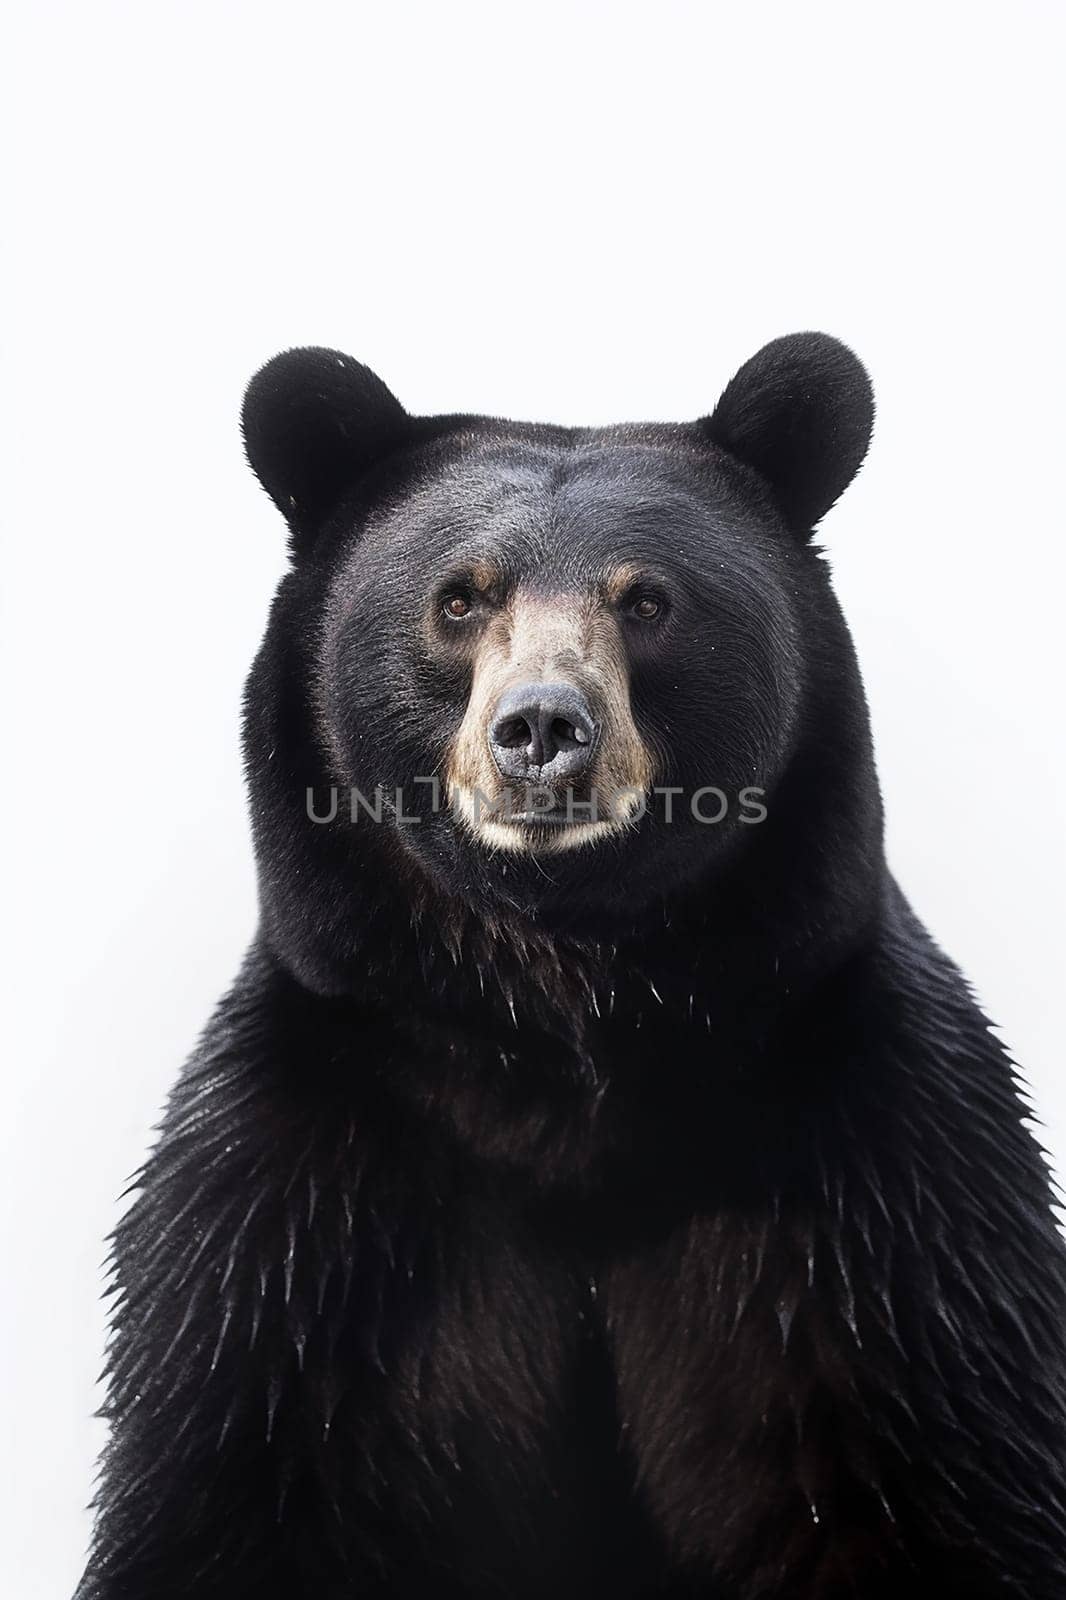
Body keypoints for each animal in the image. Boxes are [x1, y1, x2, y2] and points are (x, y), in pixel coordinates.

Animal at [74, 331, 1062, 1593]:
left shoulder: (871, 1202)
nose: (542, 729)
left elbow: (934, 1460)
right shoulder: (310, 1222)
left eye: (648, 598)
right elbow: (236, 1476)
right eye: (459, 596)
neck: (565, 1058)